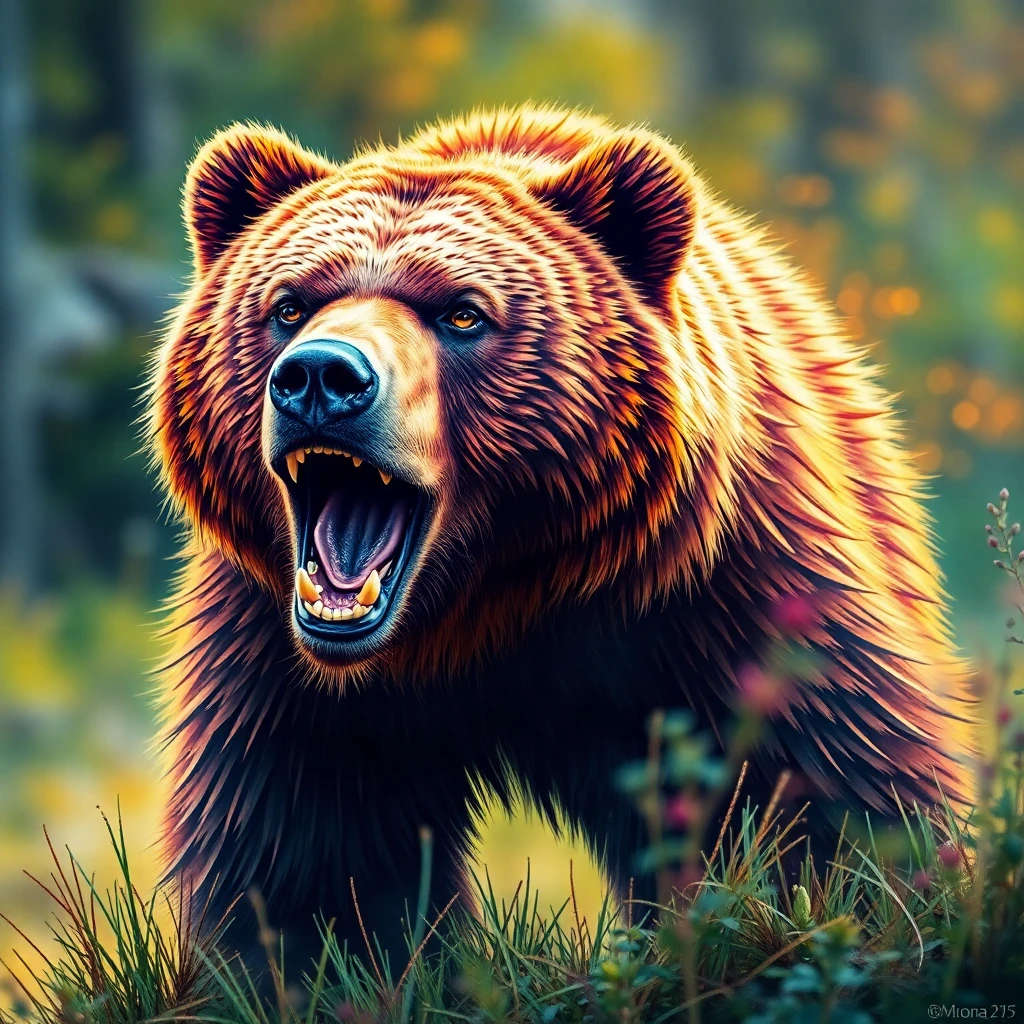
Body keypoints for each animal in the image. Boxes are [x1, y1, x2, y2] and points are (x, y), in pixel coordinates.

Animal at [148, 105, 974, 974]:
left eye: (462, 312)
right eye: (290, 304)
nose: (321, 378)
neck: (488, 604)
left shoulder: (722, 588)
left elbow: (816, 787)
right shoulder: (286, 663)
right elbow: (309, 856)